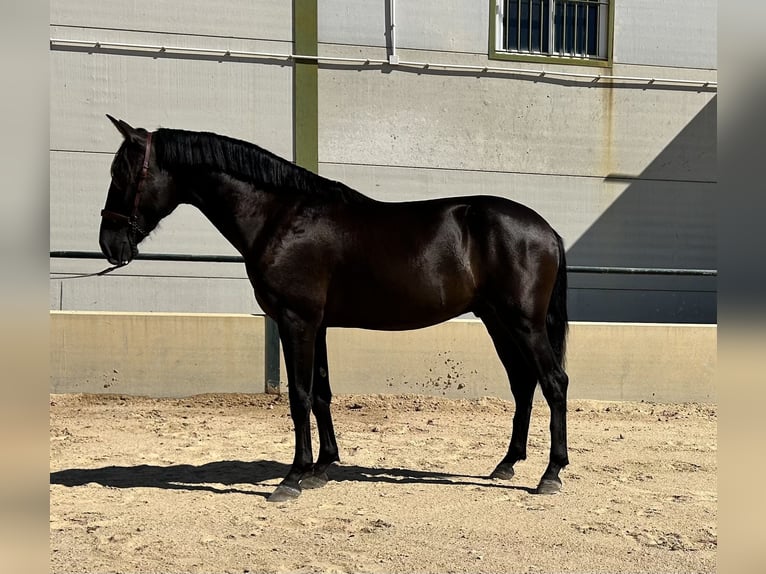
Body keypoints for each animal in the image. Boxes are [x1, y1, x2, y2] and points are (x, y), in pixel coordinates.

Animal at [99, 115, 570, 502]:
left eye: (121, 174)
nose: (109, 244)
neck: (279, 216)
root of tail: (546, 229)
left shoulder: (295, 321)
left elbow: (299, 395)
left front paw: (292, 478)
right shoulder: (317, 325)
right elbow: (322, 393)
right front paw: (322, 467)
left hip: (523, 323)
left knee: (554, 382)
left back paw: (551, 474)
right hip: (498, 321)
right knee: (523, 383)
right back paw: (507, 463)